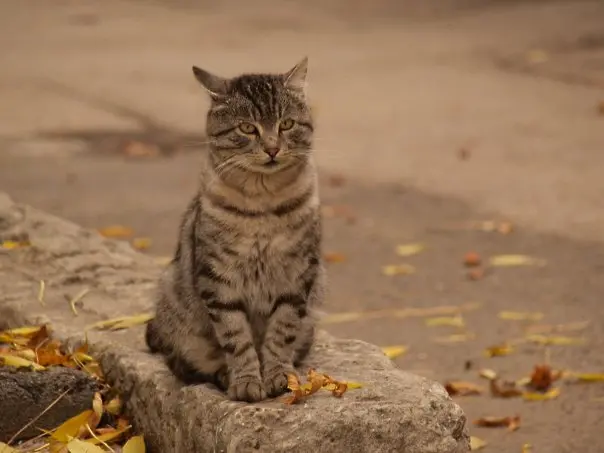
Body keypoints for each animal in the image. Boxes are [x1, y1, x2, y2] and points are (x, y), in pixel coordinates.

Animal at [145, 57, 326, 402]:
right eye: (247, 128)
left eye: (286, 125)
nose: (272, 148)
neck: (263, 204)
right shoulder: (219, 280)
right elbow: (236, 337)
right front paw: (246, 380)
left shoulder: (296, 278)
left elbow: (281, 333)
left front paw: (279, 375)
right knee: (188, 365)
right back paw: (223, 373)